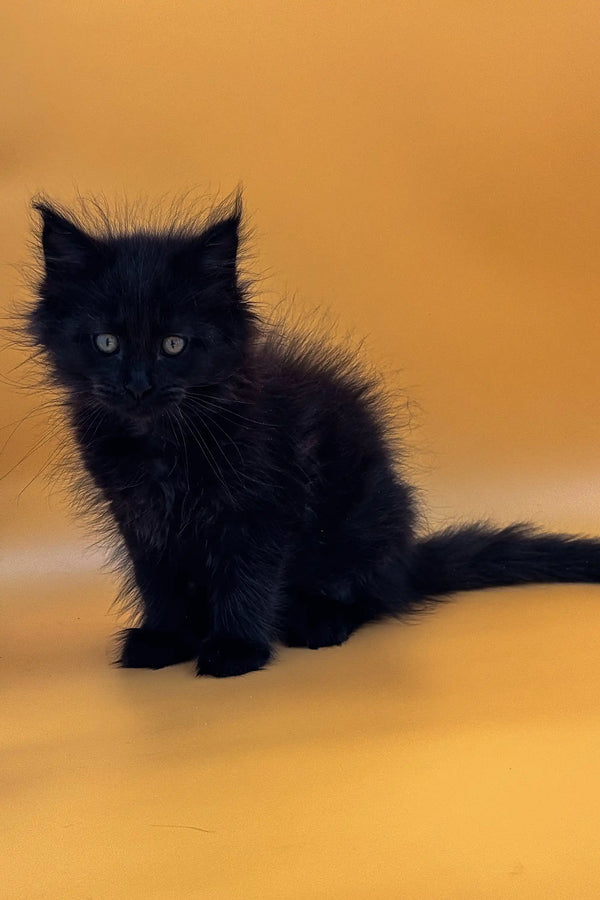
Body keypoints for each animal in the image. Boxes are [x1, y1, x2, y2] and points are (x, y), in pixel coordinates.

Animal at [27, 197, 600, 676]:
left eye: (174, 344)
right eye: (106, 342)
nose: (138, 385)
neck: (161, 444)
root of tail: (406, 561)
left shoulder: (264, 505)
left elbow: (248, 578)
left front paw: (235, 648)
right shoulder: (138, 516)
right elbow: (158, 582)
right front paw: (167, 638)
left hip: (367, 518)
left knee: (370, 598)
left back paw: (318, 620)